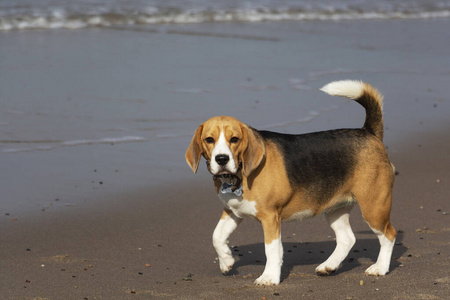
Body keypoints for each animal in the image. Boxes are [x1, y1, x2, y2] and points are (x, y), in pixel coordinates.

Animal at [185, 80, 396, 286]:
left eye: (234, 139)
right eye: (209, 140)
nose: (221, 159)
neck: (237, 176)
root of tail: (368, 132)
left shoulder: (270, 217)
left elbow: (271, 249)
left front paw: (269, 278)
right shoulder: (233, 211)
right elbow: (216, 236)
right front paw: (227, 261)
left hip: (374, 208)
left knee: (389, 235)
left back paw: (380, 267)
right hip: (335, 209)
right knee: (347, 239)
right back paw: (328, 266)